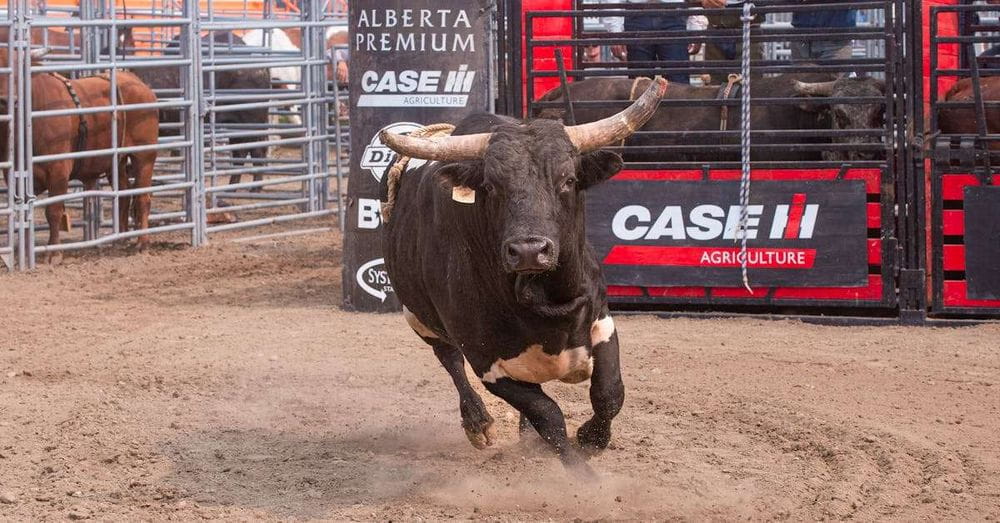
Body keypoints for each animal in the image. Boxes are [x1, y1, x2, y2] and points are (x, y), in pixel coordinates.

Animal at [0, 49, 159, 262]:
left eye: (18, 69)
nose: (6, 100)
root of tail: (139, 83)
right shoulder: (15, 176)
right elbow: (24, 215)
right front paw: (24, 254)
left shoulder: (58, 170)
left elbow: (54, 211)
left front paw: (54, 253)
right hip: (115, 163)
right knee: (124, 194)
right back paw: (120, 239)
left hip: (144, 156)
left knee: (143, 198)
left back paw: (142, 243)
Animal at [382, 79, 672, 478]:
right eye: (491, 185)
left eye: (567, 180)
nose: (530, 250)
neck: (542, 299)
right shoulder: (487, 361)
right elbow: (548, 416)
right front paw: (582, 474)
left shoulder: (601, 322)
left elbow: (609, 393)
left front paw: (591, 438)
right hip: (417, 316)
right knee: (448, 358)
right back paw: (477, 423)